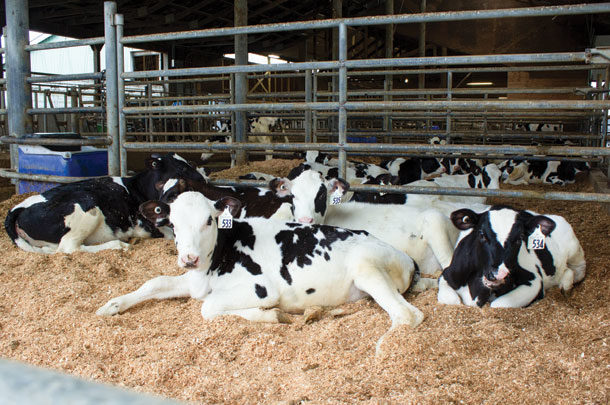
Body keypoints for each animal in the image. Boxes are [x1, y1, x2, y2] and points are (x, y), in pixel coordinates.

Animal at [4, 153, 204, 254]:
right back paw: (118, 245)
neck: (137, 187)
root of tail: (17, 208)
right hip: (86, 206)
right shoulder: (146, 225)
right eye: (181, 167)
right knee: (69, 247)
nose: (203, 179)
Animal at [96, 192, 428, 350]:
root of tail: (405, 257)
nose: (189, 258)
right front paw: (110, 305)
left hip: (367, 268)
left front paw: (271, 315)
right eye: (173, 224)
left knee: (407, 314)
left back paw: (385, 348)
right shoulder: (192, 280)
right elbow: (154, 283)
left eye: (209, 220)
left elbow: (209, 307)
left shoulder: (261, 288)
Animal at [436, 205, 584, 306]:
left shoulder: (535, 281)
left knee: (576, 270)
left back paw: (566, 287)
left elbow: (498, 304)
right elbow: (453, 300)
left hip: (574, 250)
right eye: (482, 234)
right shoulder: (448, 274)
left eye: (519, 238)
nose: (499, 274)